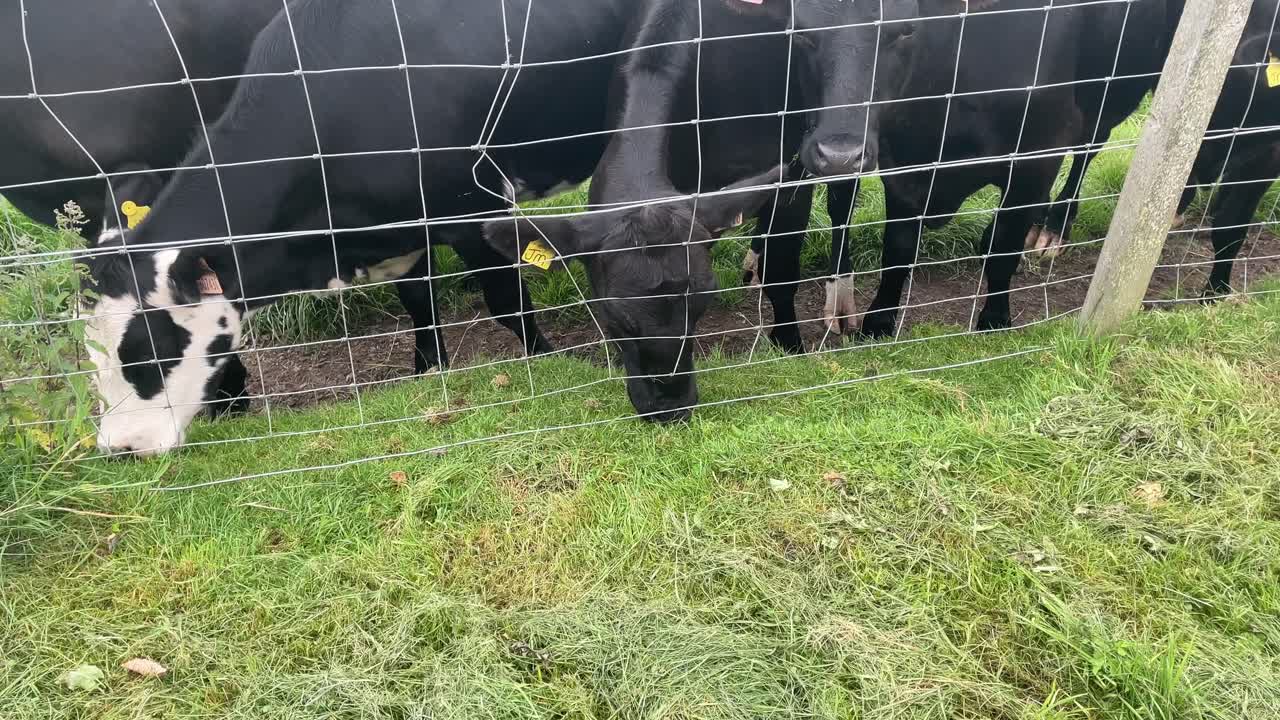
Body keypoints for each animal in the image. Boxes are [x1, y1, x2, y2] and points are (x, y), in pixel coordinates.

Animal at [79, 0, 916, 454]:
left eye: (151, 350)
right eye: (91, 353)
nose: (122, 449)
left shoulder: (467, 200)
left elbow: (504, 297)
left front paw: (540, 359)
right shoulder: (399, 219)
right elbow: (419, 298)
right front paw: (428, 371)